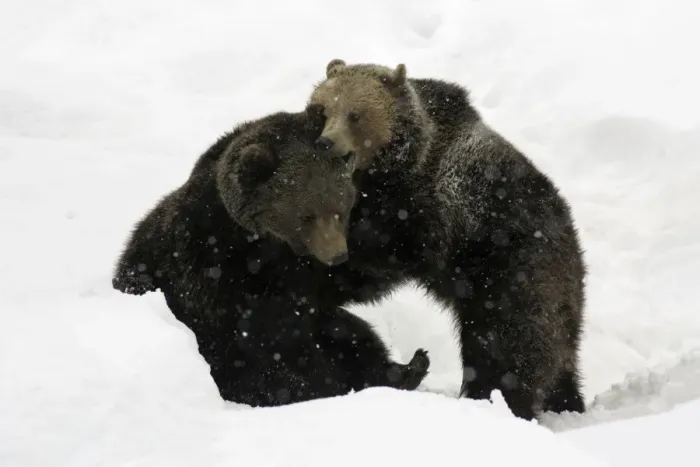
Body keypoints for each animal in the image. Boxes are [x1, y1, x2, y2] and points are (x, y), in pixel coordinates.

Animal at [112, 110, 430, 407]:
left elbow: (360, 275)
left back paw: (409, 367)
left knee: (353, 335)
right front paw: (314, 383)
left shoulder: (311, 273)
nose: (337, 255)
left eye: (341, 208)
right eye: (307, 215)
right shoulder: (213, 259)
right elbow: (266, 336)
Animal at [305, 59, 587, 420]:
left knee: (506, 349)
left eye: (356, 114)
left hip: (513, 276)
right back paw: (567, 401)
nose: (326, 143)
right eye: (322, 109)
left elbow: (387, 252)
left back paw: (495, 401)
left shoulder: (429, 211)